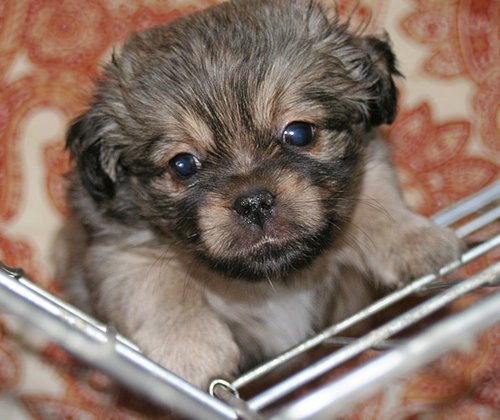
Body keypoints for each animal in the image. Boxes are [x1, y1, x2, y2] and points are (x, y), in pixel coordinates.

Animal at [60, 0, 462, 388]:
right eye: (183, 165)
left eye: (299, 133)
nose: (253, 202)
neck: (273, 280)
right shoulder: (119, 250)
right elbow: (160, 284)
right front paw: (189, 346)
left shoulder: (372, 164)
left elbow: (378, 204)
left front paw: (414, 239)